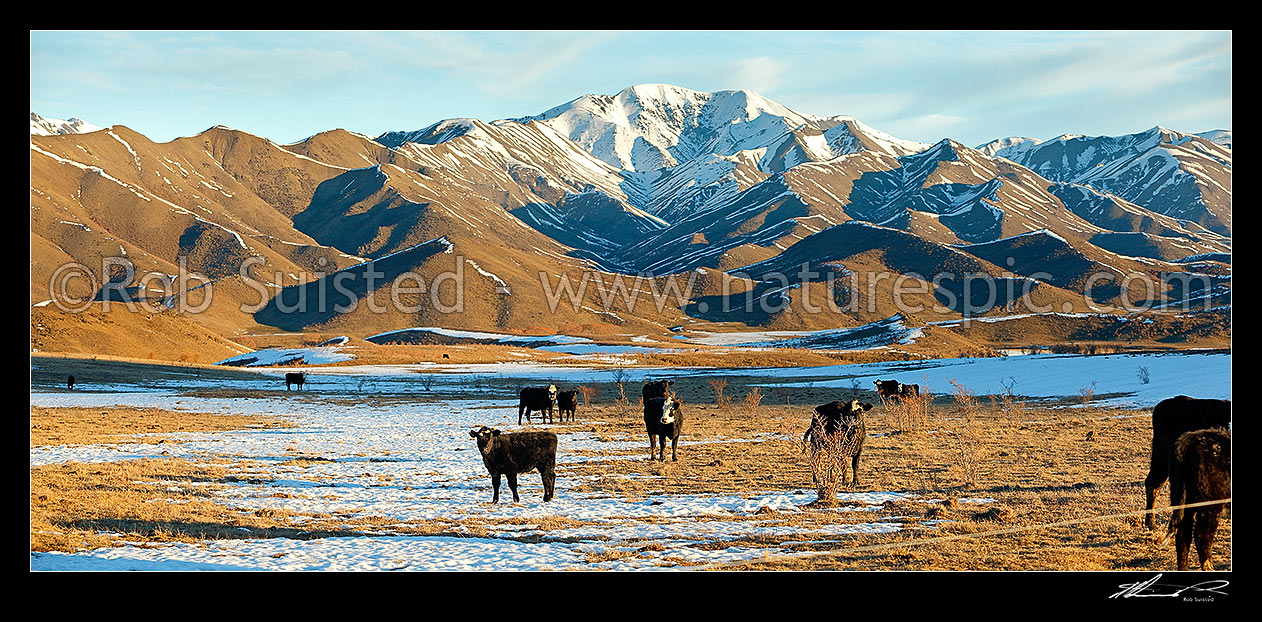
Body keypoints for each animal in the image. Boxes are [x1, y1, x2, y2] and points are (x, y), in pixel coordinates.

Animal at [1155, 428, 1226, 570]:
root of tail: (1186, 441)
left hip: (1183, 500)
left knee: (1183, 534)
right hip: (1210, 505)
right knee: (1201, 536)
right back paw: (1208, 567)